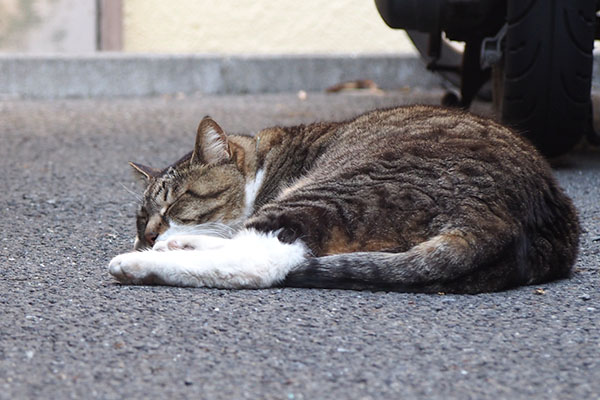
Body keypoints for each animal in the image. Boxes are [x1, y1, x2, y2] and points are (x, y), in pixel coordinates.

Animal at [109, 105, 580, 294]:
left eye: (174, 204)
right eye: (141, 219)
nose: (148, 237)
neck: (265, 160)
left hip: (331, 187)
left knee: (264, 261)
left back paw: (136, 265)